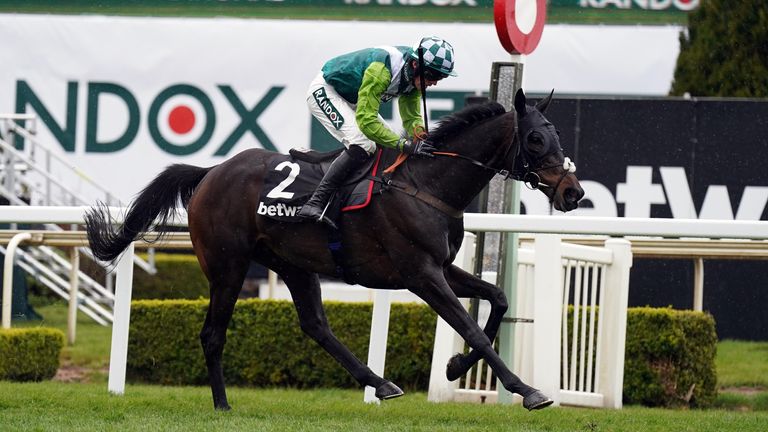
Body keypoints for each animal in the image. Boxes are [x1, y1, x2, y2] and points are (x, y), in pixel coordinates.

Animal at [85, 88, 584, 412]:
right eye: (536, 139)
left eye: (558, 135)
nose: (573, 192)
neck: (427, 184)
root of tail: (211, 172)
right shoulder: (421, 274)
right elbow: (473, 328)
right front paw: (527, 390)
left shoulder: (441, 267)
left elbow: (497, 299)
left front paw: (455, 365)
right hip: (227, 266)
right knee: (213, 334)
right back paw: (223, 405)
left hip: (294, 265)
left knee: (316, 326)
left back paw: (379, 384)